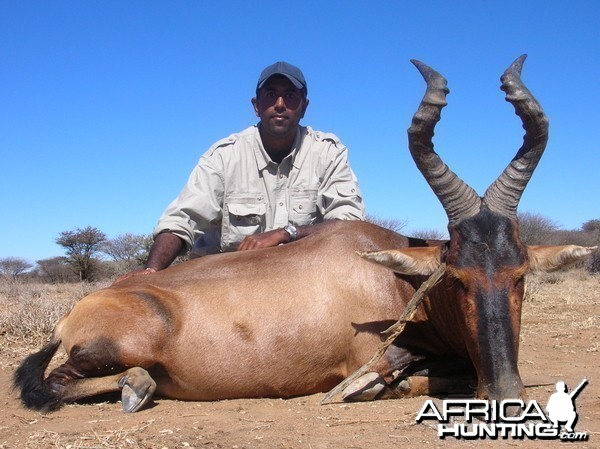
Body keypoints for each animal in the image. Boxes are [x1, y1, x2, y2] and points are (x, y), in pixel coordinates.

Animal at [14, 55, 596, 410]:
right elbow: (414, 375)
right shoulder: (371, 357)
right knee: (55, 383)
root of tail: (77, 311)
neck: (390, 276)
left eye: (521, 275)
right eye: (455, 277)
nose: (505, 393)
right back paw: (136, 385)